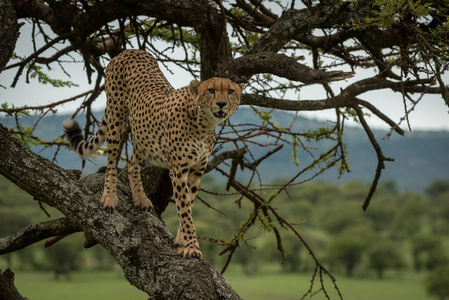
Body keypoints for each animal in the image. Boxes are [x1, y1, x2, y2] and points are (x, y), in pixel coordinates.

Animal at [63, 49, 242, 258]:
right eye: (211, 90)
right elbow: (184, 208)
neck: (204, 123)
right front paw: (191, 246)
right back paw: (109, 197)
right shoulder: (178, 170)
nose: (221, 104)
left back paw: (140, 198)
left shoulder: (196, 171)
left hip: (142, 135)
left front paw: (183, 241)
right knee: (112, 162)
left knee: (132, 163)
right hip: (116, 115)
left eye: (230, 91)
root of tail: (130, 51)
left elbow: (188, 206)